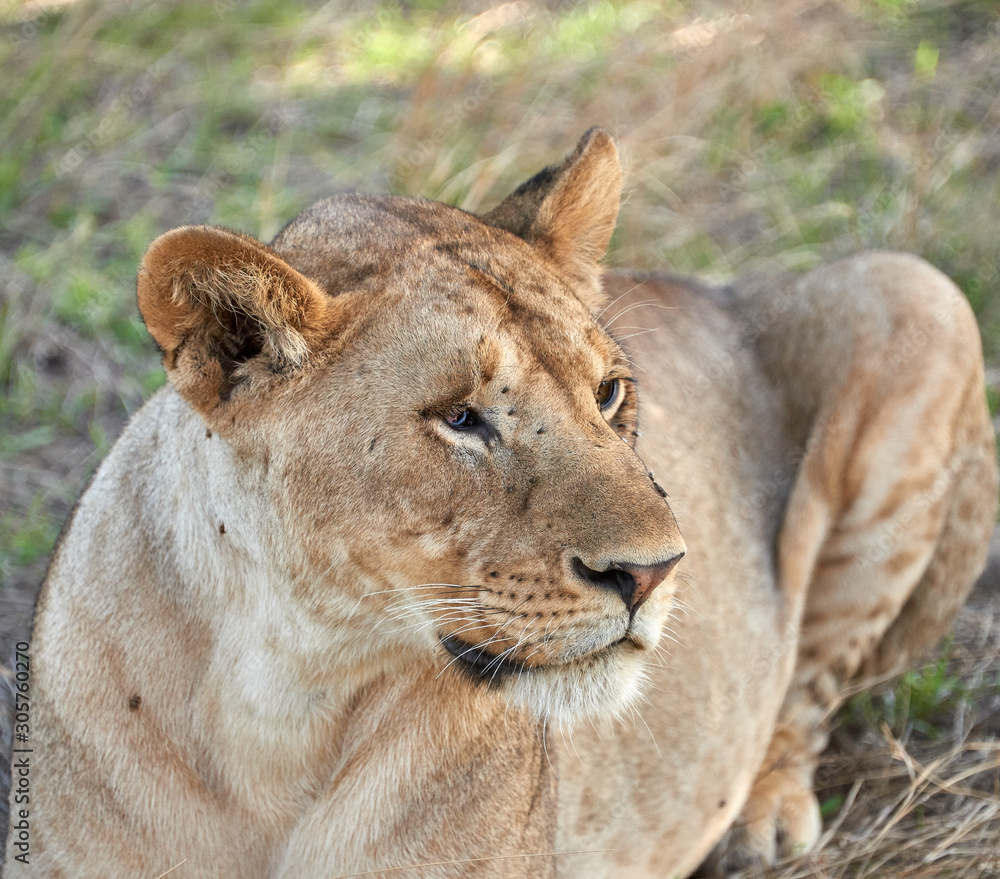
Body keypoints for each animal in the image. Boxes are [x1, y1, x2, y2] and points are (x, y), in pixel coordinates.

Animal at [5, 129, 996, 878]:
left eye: (609, 394)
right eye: (461, 418)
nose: (655, 572)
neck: (285, 694)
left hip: (922, 296)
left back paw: (765, 819)